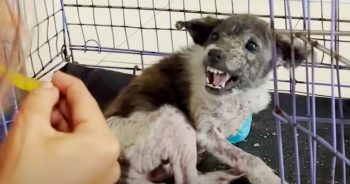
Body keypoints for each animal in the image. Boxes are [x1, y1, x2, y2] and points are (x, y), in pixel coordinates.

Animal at [104, 14, 308, 184]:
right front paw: (268, 177)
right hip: (173, 118)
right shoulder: (206, 133)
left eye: (252, 45)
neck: (238, 94)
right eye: (215, 36)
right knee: (189, 180)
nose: (213, 54)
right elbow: (248, 158)